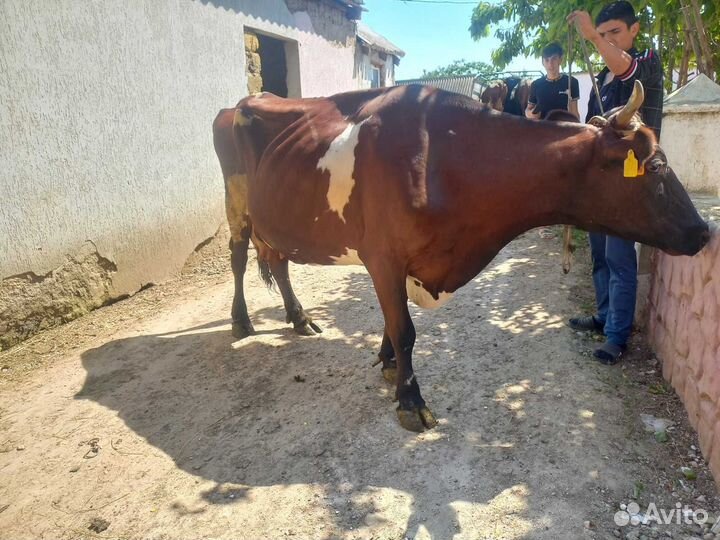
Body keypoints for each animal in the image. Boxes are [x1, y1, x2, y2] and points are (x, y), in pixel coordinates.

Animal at [215, 81, 710, 432]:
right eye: (658, 166)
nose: (704, 231)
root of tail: (244, 100)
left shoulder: (398, 262)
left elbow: (392, 324)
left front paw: (388, 365)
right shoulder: (384, 256)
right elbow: (405, 330)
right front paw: (411, 402)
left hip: (272, 215)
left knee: (277, 260)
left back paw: (299, 318)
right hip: (236, 202)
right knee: (239, 255)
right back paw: (241, 321)